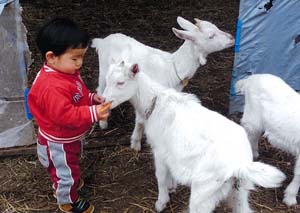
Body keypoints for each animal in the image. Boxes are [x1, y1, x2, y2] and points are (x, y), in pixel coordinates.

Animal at [91, 15, 234, 151]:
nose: (232, 38)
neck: (173, 67)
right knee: (100, 90)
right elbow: (140, 120)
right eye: (211, 36)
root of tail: (102, 41)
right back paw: (103, 122)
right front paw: (135, 144)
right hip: (103, 72)